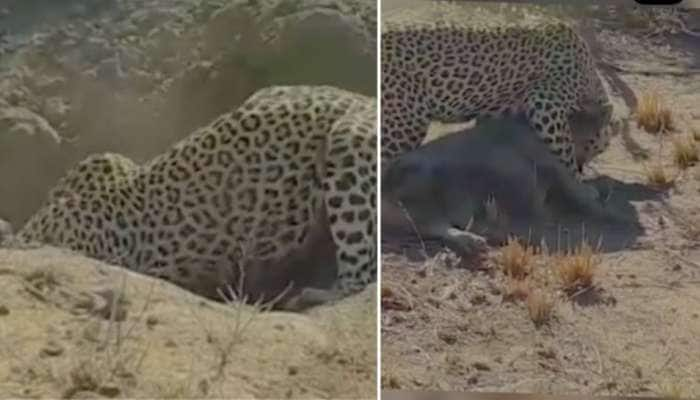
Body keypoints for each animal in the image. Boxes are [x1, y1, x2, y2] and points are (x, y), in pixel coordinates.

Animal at [380, 11, 616, 200]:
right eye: (594, 145)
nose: (583, 165)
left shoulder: (496, 115)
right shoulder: (545, 102)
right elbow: (565, 148)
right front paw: (581, 185)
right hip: (405, 122)